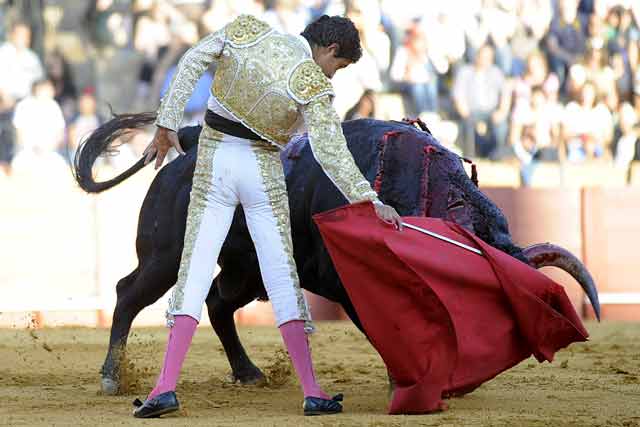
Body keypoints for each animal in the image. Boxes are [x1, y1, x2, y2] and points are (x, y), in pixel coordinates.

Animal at [75, 116, 600, 394]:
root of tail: (185, 145)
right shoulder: (346, 284)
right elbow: (387, 326)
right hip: (165, 256)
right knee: (128, 295)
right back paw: (111, 378)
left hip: (248, 270)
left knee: (218, 304)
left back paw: (249, 372)